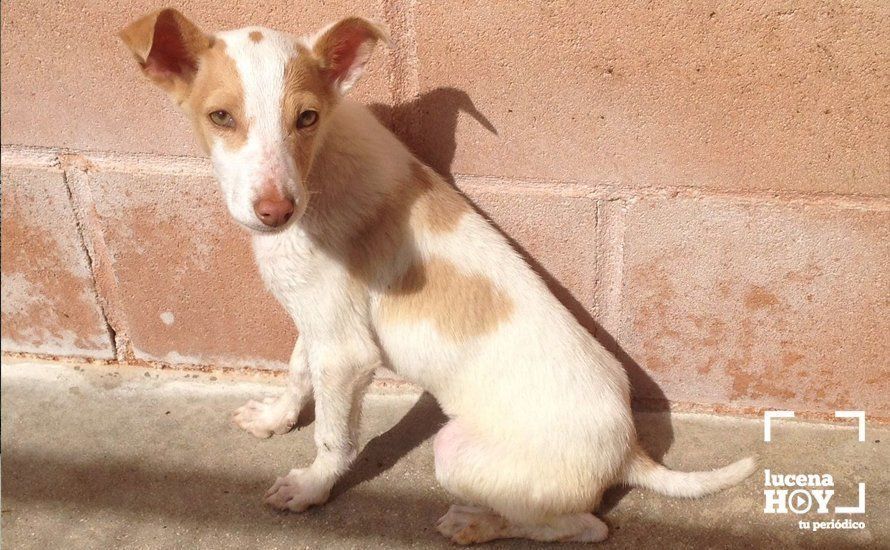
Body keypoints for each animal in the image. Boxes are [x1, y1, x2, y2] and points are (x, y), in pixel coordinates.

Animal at [121, 10, 752, 544]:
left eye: (307, 118)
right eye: (220, 117)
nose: (276, 212)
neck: (319, 169)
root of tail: (627, 449)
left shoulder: (346, 353)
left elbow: (334, 436)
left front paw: (311, 486)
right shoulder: (319, 319)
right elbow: (297, 373)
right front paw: (276, 420)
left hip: (456, 452)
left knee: (582, 527)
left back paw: (477, 524)